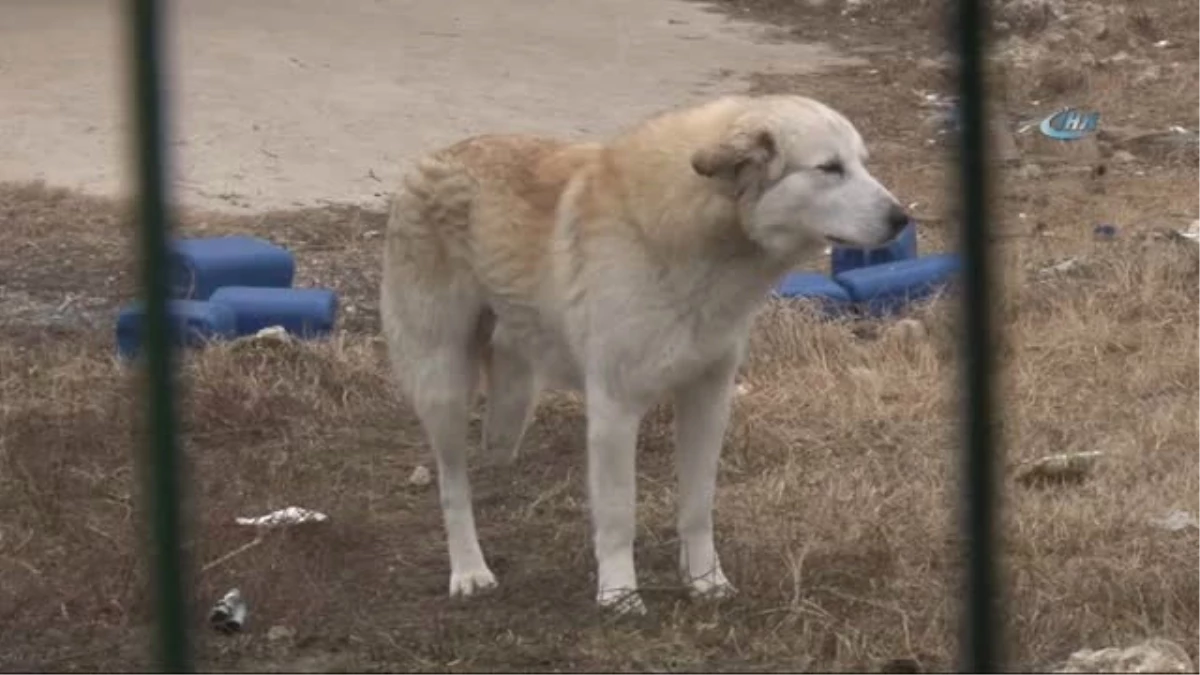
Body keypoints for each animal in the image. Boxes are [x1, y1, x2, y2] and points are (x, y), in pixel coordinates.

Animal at [384, 94, 907, 614]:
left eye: (861, 163)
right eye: (830, 168)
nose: (902, 219)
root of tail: (429, 162)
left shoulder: (707, 400)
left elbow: (697, 507)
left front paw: (705, 581)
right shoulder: (614, 410)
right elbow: (619, 515)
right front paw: (619, 594)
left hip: (514, 385)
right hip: (444, 389)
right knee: (453, 487)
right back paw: (469, 571)